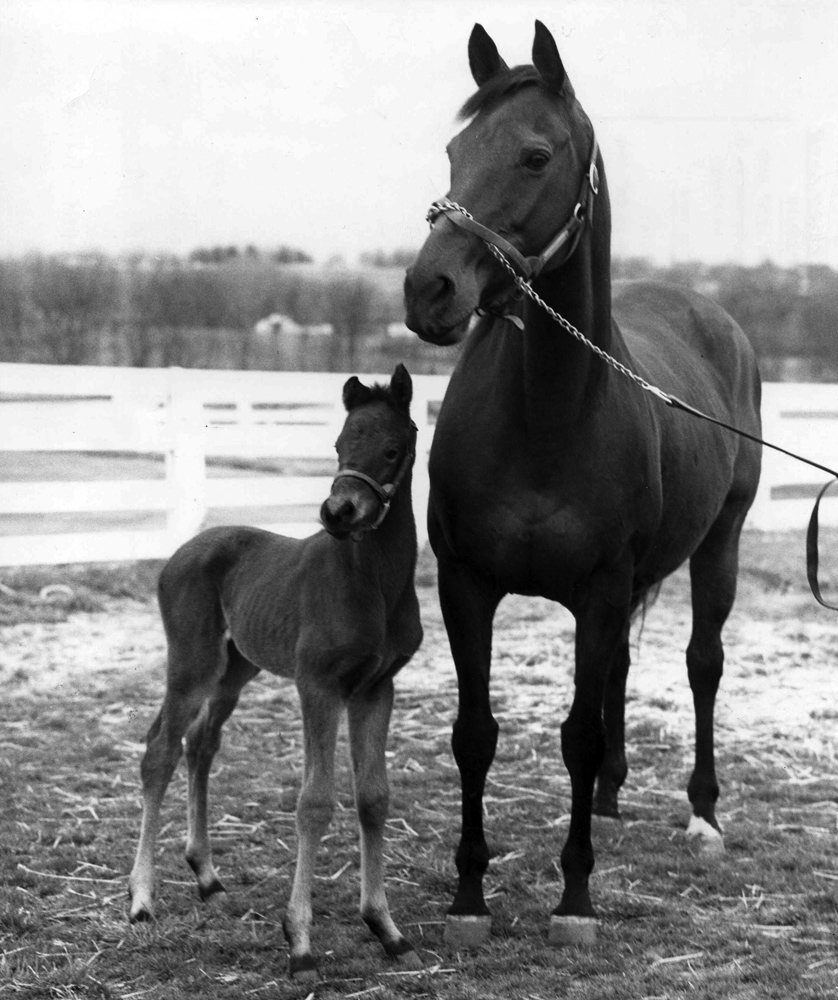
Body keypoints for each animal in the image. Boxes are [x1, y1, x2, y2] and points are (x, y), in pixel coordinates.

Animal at [127, 366, 424, 976]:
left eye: (391, 448)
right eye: (338, 445)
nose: (338, 513)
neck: (373, 584)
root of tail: (180, 552)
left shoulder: (376, 687)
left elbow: (374, 796)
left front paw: (386, 929)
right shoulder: (319, 685)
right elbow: (314, 802)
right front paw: (301, 943)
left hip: (236, 669)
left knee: (201, 743)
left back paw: (208, 877)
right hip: (193, 663)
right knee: (160, 750)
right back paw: (142, 899)